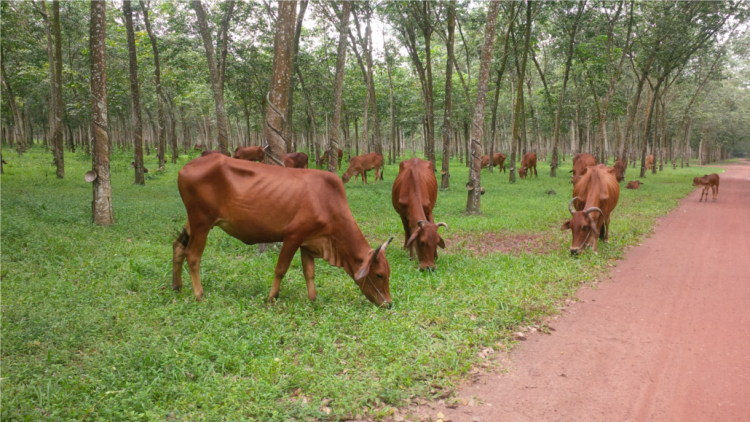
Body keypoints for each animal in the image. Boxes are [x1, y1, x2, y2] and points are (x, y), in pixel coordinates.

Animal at [170, 153, 394, 308]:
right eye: (380, 275)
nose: (389, 304)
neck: (328, 203)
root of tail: (185, 167)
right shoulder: (293, 236)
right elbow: (281, 269)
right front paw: (272, 297)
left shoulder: (309, 242)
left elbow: (309, 273)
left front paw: (313, 299)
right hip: (201, 222)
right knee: (193, 256)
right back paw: (199, 294)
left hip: (193, 221)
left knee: (178, 246)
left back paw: (177, 287)